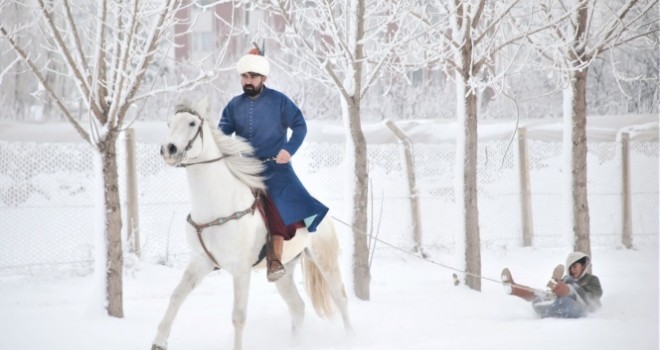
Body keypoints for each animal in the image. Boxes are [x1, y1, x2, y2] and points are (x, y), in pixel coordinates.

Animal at [153, 99, 354, 350]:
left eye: (191, 123)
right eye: (169, 123)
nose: (168, 149)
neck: (218, 206)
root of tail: (323, 213)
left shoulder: (241, 270)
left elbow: (238, 316)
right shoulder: (201, 262)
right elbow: (176, 296)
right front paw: (159, 341)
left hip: (326, 261)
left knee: (341, 298)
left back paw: (350, 339)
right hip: (285, 272)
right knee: (297, 307)